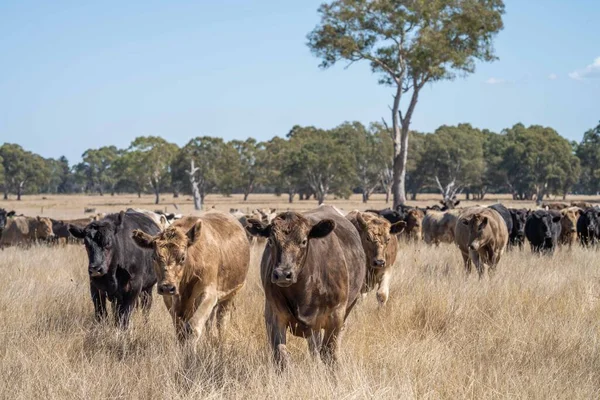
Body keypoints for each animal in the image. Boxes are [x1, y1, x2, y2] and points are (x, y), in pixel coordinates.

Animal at [132, 212, 250, 346]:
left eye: (183, 257)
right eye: (154, 257)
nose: (167, 287)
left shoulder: (208, 294)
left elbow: (193, 328)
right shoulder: (171, 300)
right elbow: (180, 331)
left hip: (230, 296)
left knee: (222, 321)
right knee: (210, 322)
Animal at [245, 205, 366, 370]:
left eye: (303, 241)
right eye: (270, 240)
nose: (282, 274)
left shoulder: (336, 314)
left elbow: (328, 353)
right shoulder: (273, 313)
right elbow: (281, 355)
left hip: (348, 307)